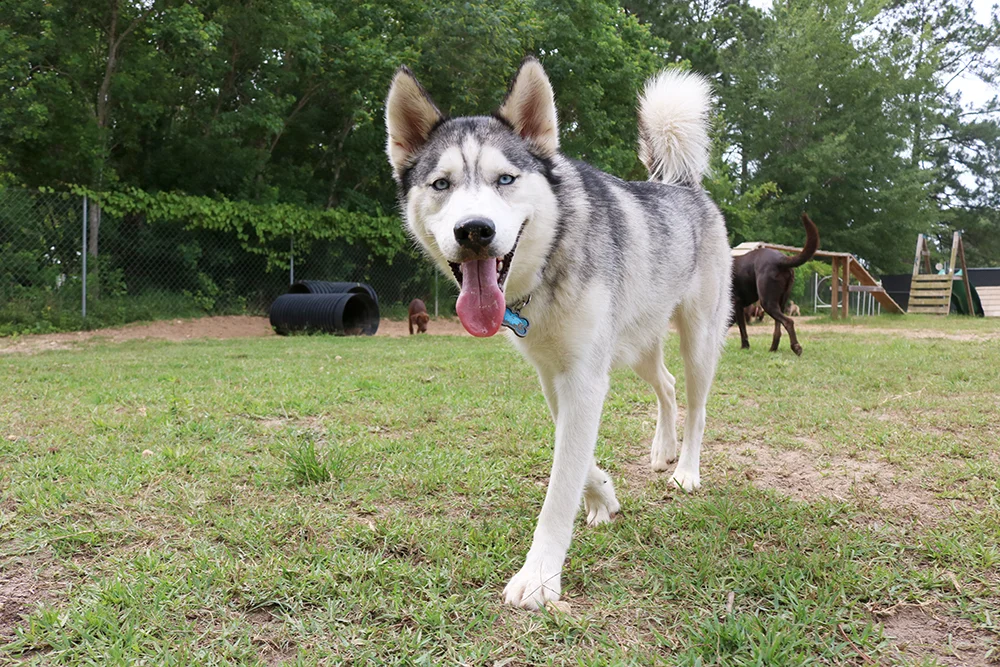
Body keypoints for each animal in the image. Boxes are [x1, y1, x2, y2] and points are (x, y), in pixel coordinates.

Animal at [385, 58, 732, 610]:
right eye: (441, 185)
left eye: (505, 179)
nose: (474, 230)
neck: (547, 264)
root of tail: (682, 185)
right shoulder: (554, 374)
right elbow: (576, 453)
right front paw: (604, 494)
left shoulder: (584, 377)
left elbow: (561, 483)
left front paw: (540, 576)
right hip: (638, 346)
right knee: (668, 386)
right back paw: (662, 450)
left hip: (698, 338)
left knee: (696, 404)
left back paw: (686, 471)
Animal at [731, 214, 818, 355]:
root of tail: (781, 259)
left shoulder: (736, 304)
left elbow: (742, 329)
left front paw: (744, 347)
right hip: (779, 303)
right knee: (778, 328)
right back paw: (773, 348)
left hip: (767, 302)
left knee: (788, 322)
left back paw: (796, 347)